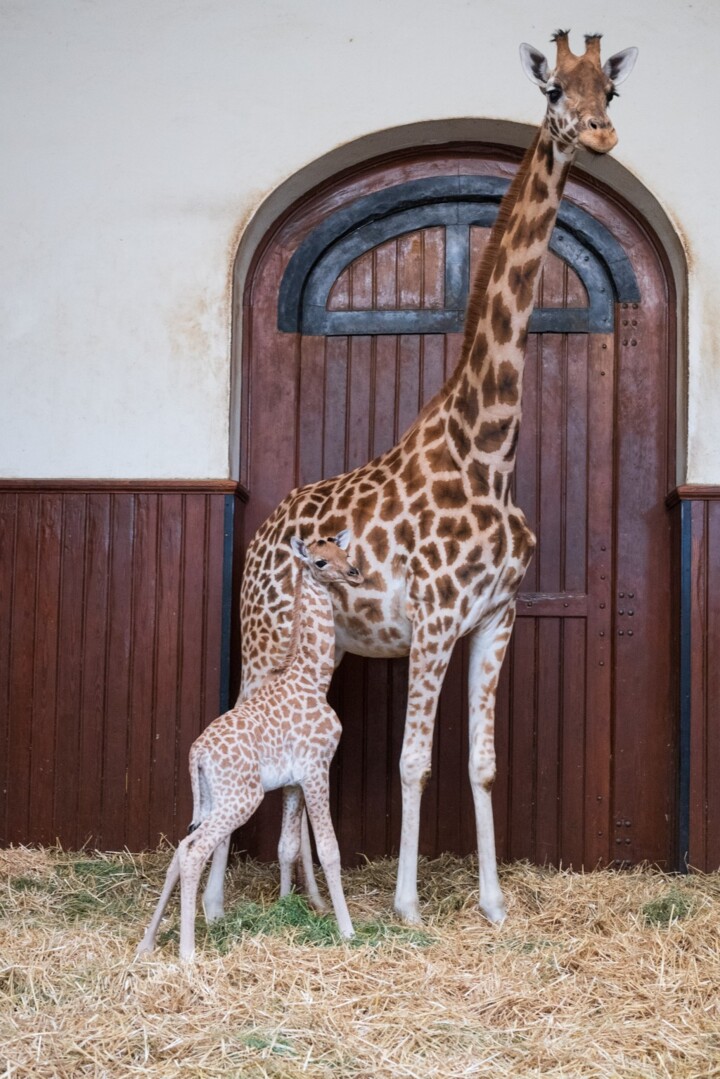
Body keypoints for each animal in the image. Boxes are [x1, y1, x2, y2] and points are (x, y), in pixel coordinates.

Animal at [136, 531, 362, 961]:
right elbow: (329, 849)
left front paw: (286, 906)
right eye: (320, 562)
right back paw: (188, 953)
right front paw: (347, 930)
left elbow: (287, 845)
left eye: (345, 551)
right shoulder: (316, 768)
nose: (355, 574)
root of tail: (196, 754)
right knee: (194, 851)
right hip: (241, 797)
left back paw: (147, 942)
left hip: (212, 798)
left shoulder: (292, 782)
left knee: (180, 848)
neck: (313, 676)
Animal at [235, 31, 638, 925]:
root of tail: (262, 532)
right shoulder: (434, 618)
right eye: (554, 89)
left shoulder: (495, 616)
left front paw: (492, 903)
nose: (599, 135)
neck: (487, 453)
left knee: (295, 739)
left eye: (612, 90)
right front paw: (409, 904)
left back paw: (296, 889)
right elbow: (414, 760)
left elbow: (481, 761)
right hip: (263, 637)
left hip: (325, 647)